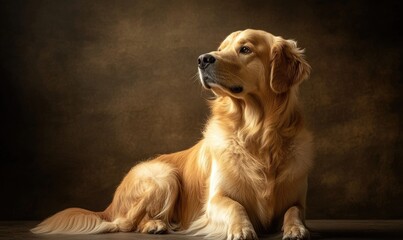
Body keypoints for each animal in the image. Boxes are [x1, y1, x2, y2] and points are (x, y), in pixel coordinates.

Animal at [33, 29, 314, 240]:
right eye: (220, 47)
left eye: (245, 49)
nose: (203, 59)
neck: (258, 134)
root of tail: (110, 205)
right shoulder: (215, 200)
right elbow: (235, 206)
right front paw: (241, 229)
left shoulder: (297, 200)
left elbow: (293, 211)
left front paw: (296, 229)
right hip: (163, 175)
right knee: (125, 223)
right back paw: (154, 225)